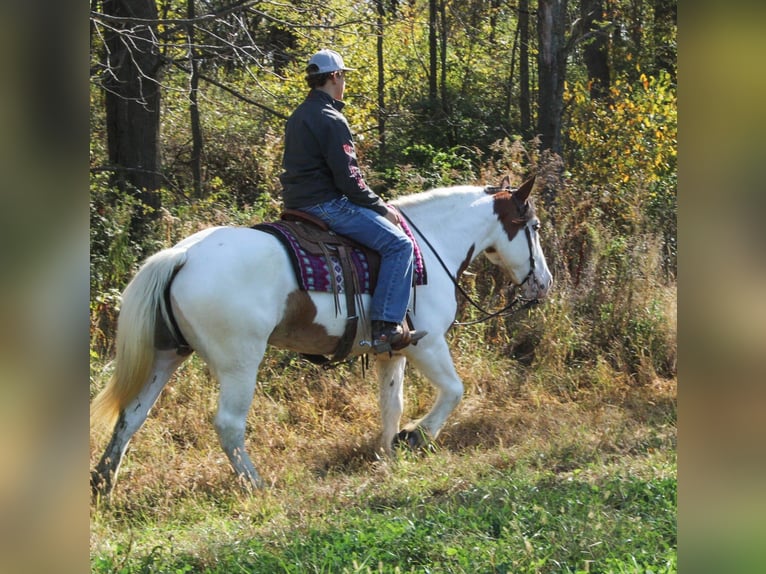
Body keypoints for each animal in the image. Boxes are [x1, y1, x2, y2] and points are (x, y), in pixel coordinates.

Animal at [93, 177, 556, 500]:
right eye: (532, 226)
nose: (545, 284)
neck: (428, 246)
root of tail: (182, 256)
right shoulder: (426, 343)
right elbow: (455, 391)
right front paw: (415, 437)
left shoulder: (394, 348)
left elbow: (391, 405)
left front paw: (387, 454)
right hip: (239, 363)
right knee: (228, 425)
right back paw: (255, 484)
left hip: (167, 355)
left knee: (131, 416)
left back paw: (103, 483)